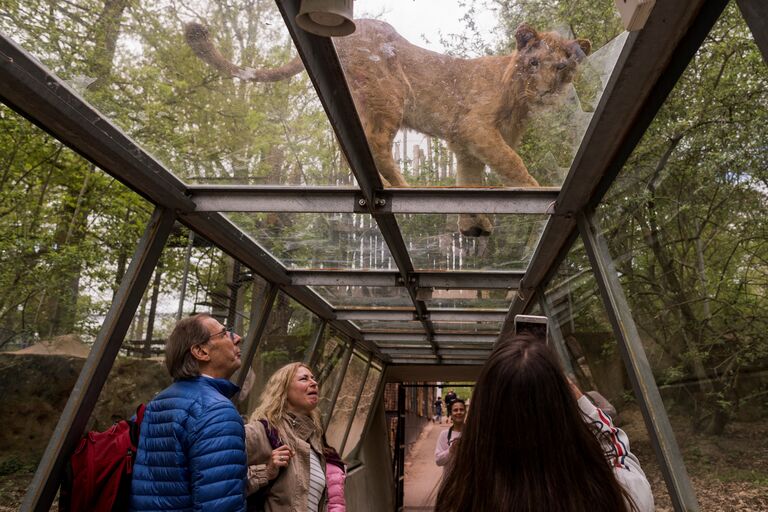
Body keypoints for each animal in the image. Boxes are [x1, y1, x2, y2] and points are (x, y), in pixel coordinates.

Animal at [184, 18, 588, 236]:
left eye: (561, 67)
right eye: (534, 63)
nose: (547, 90)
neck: (519, 100)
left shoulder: (464, 145)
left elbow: (471, 183)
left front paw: (473, 223)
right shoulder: (473, 128)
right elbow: (511, 163)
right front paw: (538, 193)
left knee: (350, 143)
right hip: (388, 97)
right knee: (376, 144)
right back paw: (405, 189)